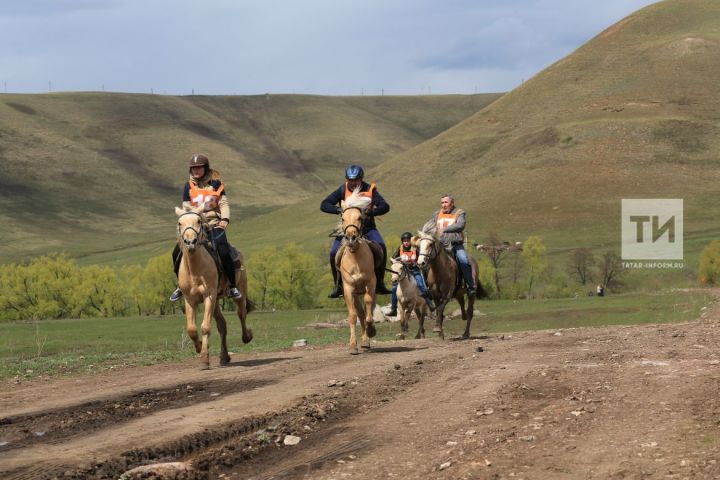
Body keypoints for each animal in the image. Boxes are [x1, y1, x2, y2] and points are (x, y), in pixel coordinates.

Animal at [174, 204, 253, 370]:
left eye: (198, 221)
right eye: (180, 223)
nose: (190, 242)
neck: (195, 270)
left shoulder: (209, 296)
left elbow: (205, 327)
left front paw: (204, 359)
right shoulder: (189, 299)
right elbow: (192, 329)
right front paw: (199, 348)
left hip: (239, 292)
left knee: (241, 314)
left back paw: (247, 336)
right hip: (217, 301)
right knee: (222, 325)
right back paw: (224, 357)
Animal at [338, 189, 380, 354]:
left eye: (360, 217)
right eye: (342, 218)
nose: (351, 238)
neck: (355, 257)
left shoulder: (371, 282)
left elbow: (369, 305)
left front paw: (371, 330)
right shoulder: (349, 288)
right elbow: (353, 315)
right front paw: (352, 345)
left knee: (369, 309)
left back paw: (367, 337)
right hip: (355, 293)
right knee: (360, 313)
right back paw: (364, 341)